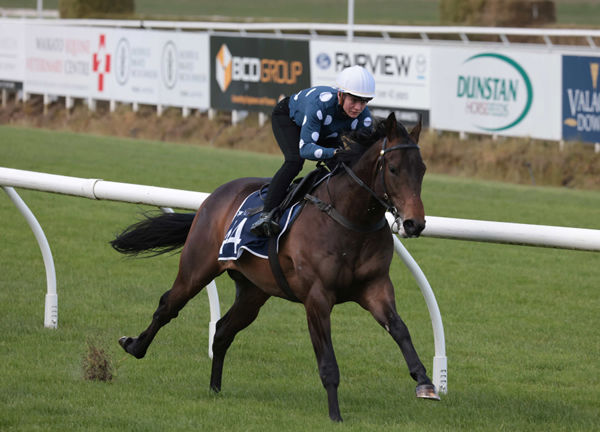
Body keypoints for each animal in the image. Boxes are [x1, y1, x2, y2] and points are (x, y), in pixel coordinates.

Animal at [112, 113, 438, 420]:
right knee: (168, 306)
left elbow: (400, 329)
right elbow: (328, 362)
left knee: (222, 330)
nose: (415, 223)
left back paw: (215, 388)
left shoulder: (375, 287)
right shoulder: (317, 297)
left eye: (422, 169)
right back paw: (134, 346)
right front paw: (335, 414)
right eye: (393, 168)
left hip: (253, 291)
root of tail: (213, 197)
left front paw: (425, 382)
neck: (349, 218)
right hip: (196, 269)